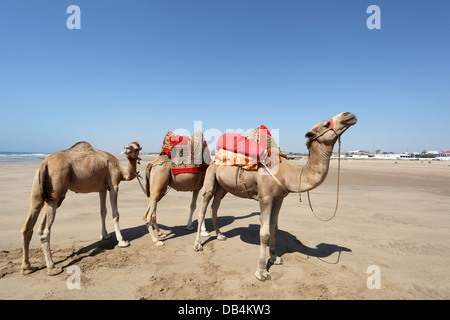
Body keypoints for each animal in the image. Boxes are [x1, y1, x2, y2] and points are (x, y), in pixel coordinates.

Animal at [19, 141, 141, 276]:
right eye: (129, 146)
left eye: (136, 148)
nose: (126, 149)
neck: (121, 170)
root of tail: (44, 163)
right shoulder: (113, 185)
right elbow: (115, 214)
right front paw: (122, 241)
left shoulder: (102, 188)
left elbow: (102, 211)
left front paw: (104, 235)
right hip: (56, 192)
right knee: (45, 231)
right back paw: (52, 268)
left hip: (38, 190)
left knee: (28, 226)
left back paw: (27, 267)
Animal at [193, 112, 358, 280]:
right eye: (326, 124)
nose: (348, 115)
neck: (287, 173)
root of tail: (215, 155)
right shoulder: (266, 198)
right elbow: (264, 233)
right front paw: (262, 272)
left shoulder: (279, 199)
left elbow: (274, 228)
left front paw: (274, 258)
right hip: (211, 174)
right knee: (203, 208)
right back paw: (198, 245)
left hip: (223, 187)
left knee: (215, 207)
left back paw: (220, 235)